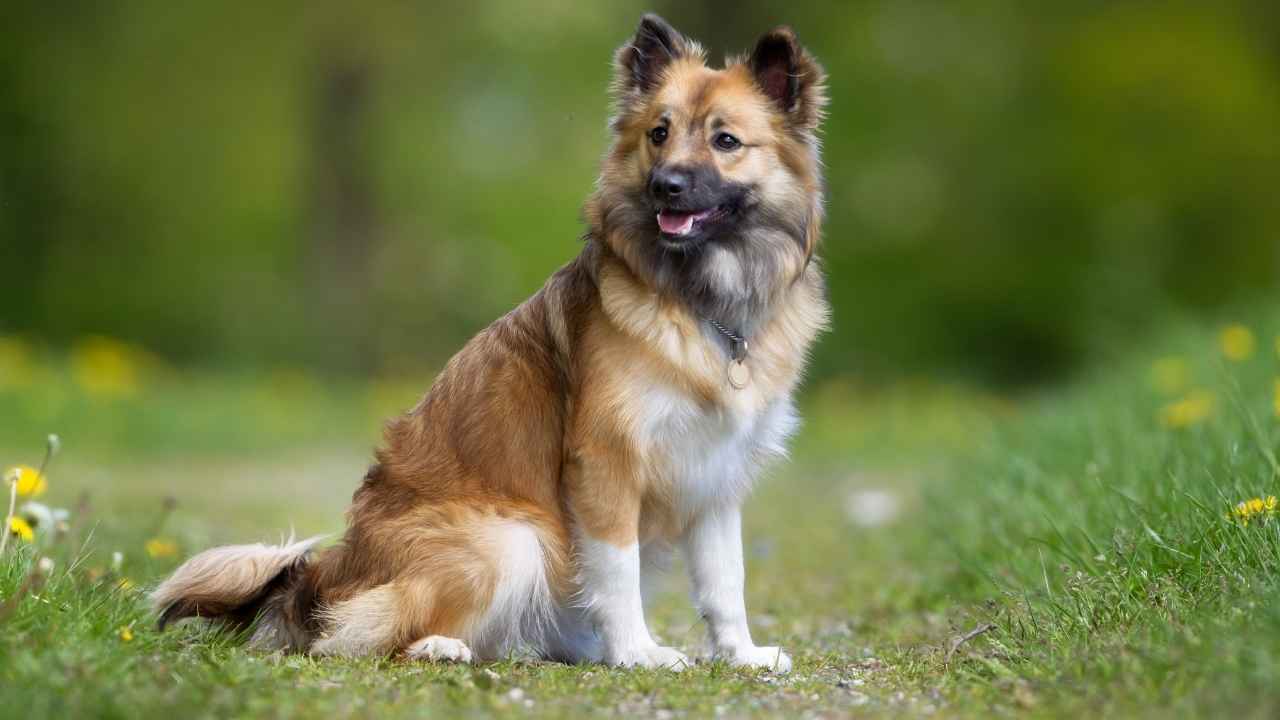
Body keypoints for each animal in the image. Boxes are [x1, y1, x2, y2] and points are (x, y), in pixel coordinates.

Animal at [152, 14, 829, 671]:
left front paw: (741, 654)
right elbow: (618, 570)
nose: (666, 185)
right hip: (510, 539)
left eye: (725, 141)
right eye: (658, 134)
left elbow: (725, 581)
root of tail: (319, 580)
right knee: (354, 636)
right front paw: (638, 652)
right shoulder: (604, 464)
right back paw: (440, 647)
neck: (701, 303)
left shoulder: (715, 476)